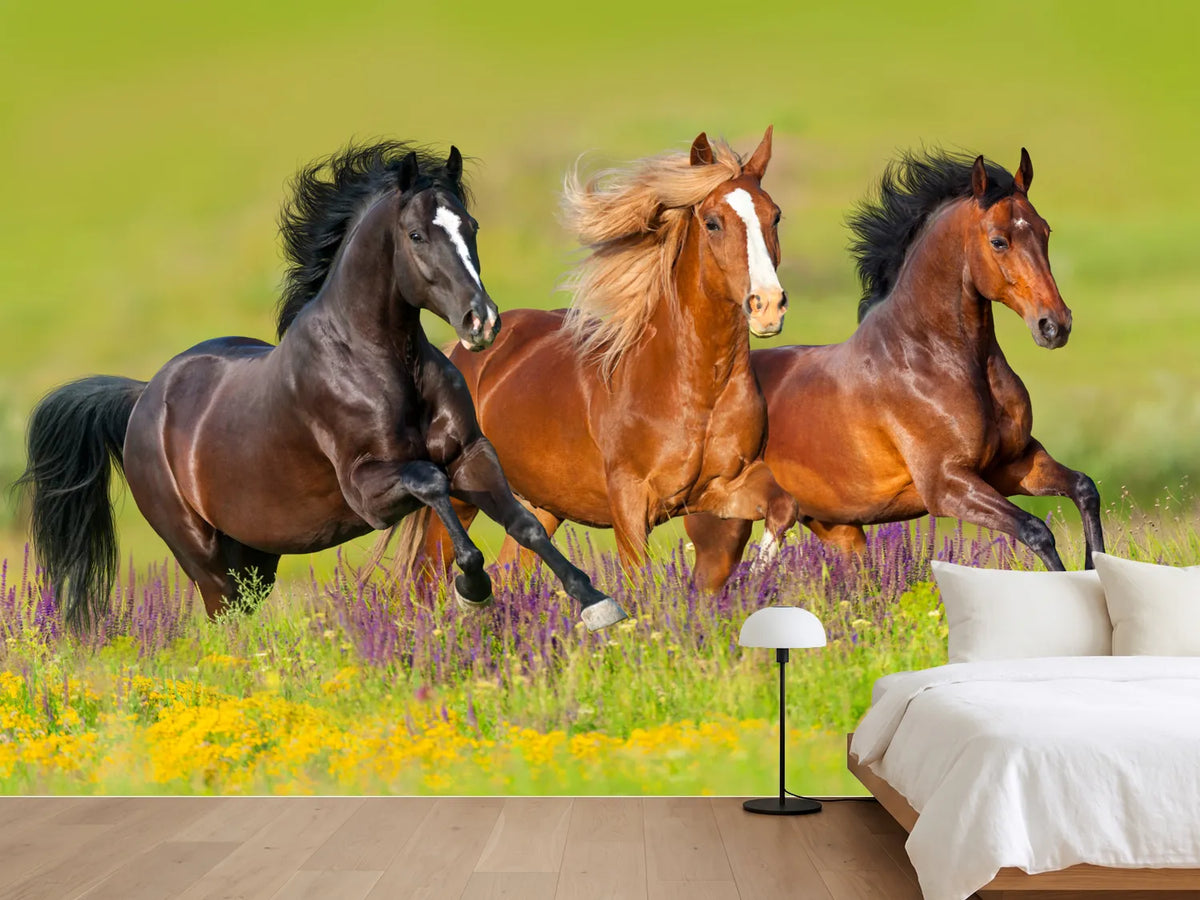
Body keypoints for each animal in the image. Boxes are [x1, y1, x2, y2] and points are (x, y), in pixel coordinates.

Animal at [17, 140, 628, 632]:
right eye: (416, 234)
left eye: (471, 227)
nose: (482, 322)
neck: (381, 364)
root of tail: (144, 398)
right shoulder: (369, 490)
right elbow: (431, 483)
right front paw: (473, 590)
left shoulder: (472, 455)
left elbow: (526, 524)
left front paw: (597, 604)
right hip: (204, 558)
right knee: (225, 624)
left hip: (255, 558)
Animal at [401, 128, 799, 588]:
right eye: (713, 222)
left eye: (774, 216)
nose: (768, 306)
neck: (696, 388)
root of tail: (461, 354)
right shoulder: (630, 503)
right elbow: (639, 581)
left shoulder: (725, 486)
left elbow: (782, 508)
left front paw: (755, 580)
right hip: (462, 493)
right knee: (427, 575)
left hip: (541, 504)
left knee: (509, 571)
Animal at [683, 149, 1105, 586]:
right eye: (999, 241)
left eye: (1045, 231)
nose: (1054, 325)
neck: (933, 358)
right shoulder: (947, 486)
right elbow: (1036, 530)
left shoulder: (1013, 465)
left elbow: (1084, 488)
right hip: (723, 528)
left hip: (840, 529)